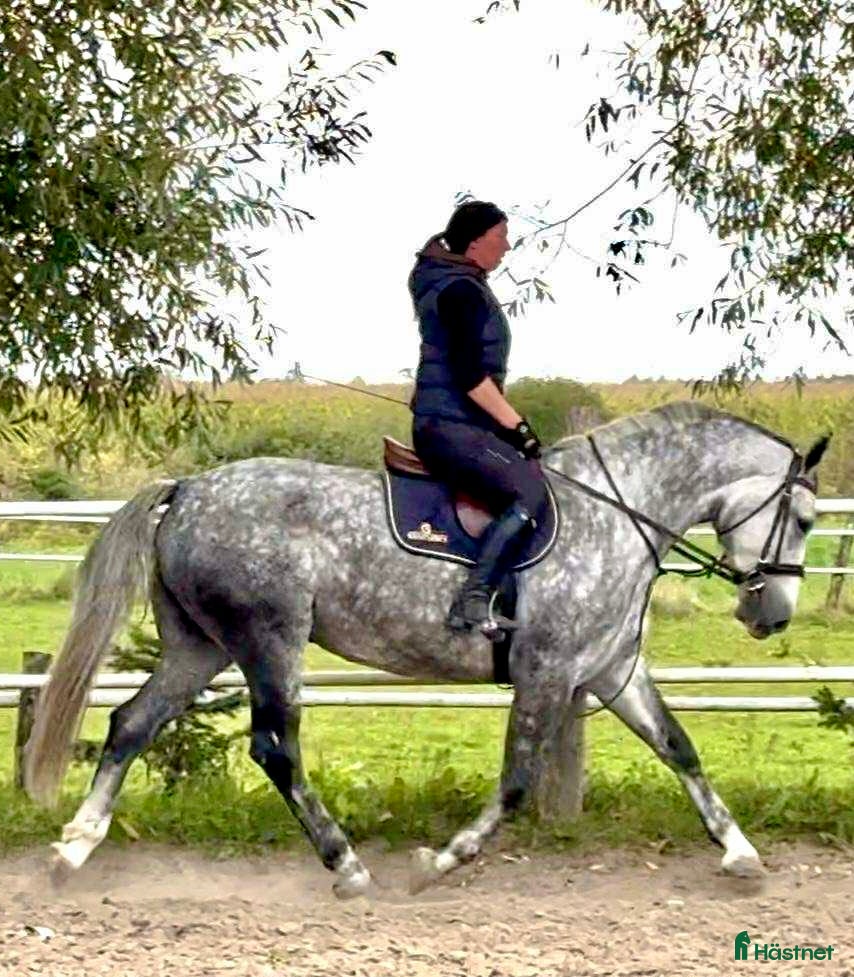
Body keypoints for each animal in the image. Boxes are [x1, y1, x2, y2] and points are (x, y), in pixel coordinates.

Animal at [24, 402, 828, 898]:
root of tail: (188, 489)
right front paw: (437, 863)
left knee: (131, 723)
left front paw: (742, 854)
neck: (618, 514)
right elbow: (514, 785)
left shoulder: (610, 671)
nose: (773, 615)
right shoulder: (546, 672)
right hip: (268, 640)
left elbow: (680, 748)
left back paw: (72, 850)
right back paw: (347, 866)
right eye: (805, 518)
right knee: (275, 749)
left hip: (201, 648)